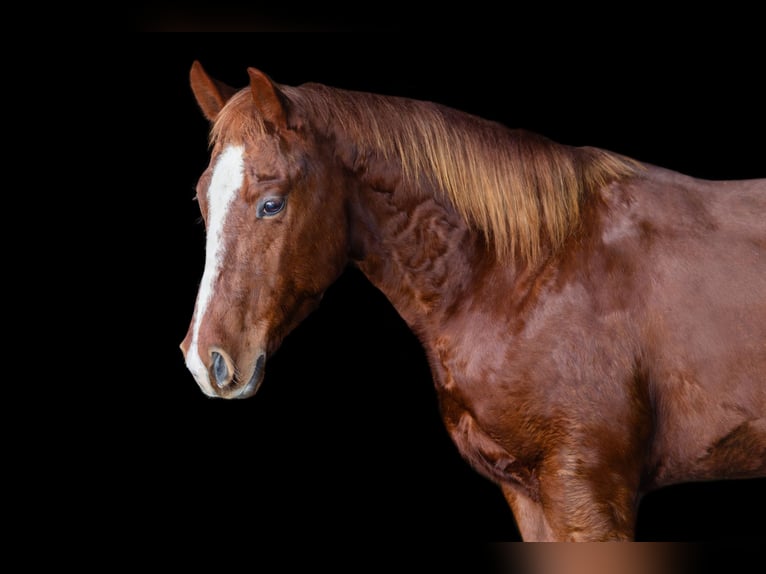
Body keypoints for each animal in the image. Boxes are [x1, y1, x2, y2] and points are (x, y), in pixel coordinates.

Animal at [180, 60, 766, 541]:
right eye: (202, 198)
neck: (527, 274)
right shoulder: (530, 495)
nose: (206, 361)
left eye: (272, 203)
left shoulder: (591, 495)